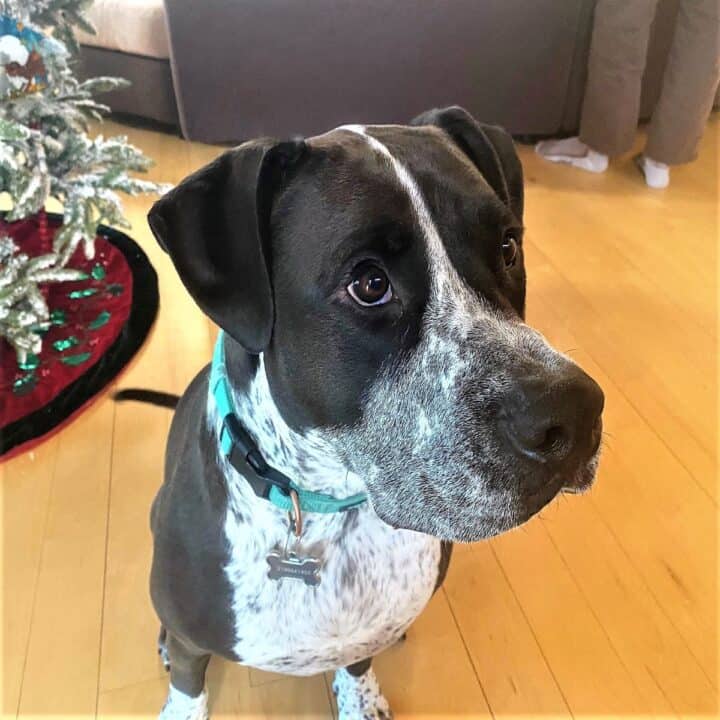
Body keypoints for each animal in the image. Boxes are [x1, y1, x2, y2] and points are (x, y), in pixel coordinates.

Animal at [145, 107, 600, 720]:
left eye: (507, 247)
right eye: (368, 283)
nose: (575, 413)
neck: (325, 508)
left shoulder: (366, 633)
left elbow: (358, 664)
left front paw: (361, 700)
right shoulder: (194, 640)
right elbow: (190, 683)